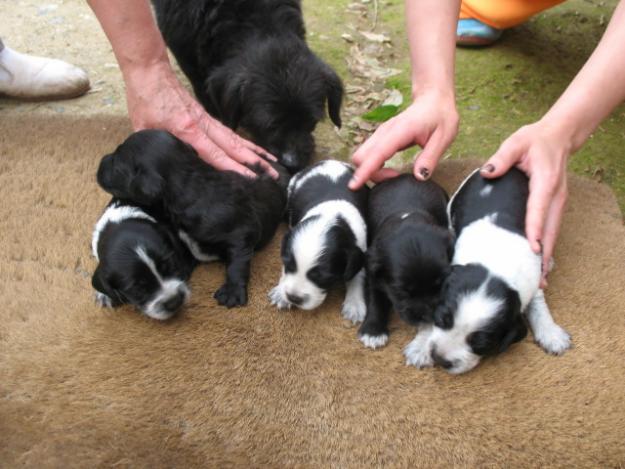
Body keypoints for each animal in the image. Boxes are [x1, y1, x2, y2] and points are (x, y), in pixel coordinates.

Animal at [97, 128, 290, 308]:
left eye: (116, 163)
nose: (100, 163)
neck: (192, 184)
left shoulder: (242, 231)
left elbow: (237, 263)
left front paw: (232, 292)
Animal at [266, 159, 366, 320]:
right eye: (288, 265)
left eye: (323, 277)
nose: (293, 298)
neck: (332, 215)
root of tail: (331, 161)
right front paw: (281, 294)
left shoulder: (360, 248)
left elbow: (357, 275)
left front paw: (355, 305)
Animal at [356, 175, 454, 348]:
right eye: (401, 292)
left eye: (440, 285)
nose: (428, 316)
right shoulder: (374, 275)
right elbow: (375, 301)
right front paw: (373, 332)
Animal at [402, 167, 572, 372]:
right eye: (442, 319)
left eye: (481, 344)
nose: (440, 359)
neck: (496, 264)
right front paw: (420, 347)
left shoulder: (533, 277)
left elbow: (538, 305)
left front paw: (550, 333)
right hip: (453, 204)